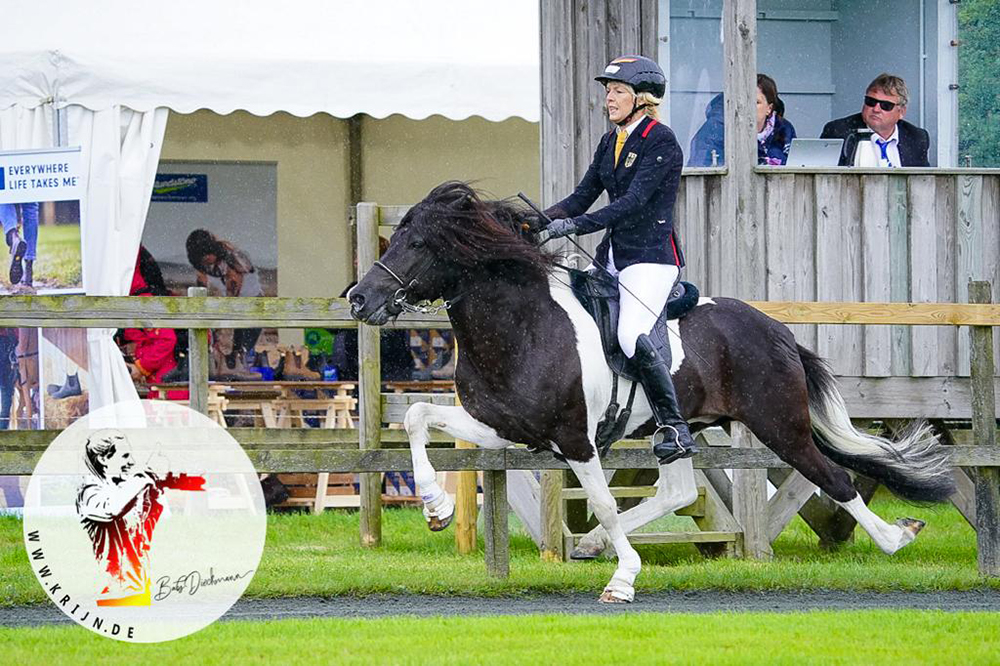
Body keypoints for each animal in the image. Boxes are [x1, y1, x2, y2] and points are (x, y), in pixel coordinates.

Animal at [348, 180, 956, 600]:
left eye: (418, 243)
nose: (358, 299)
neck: (522, 325)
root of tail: (776, 330)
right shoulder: (503, 429)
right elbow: (416, 417)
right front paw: (436, 507)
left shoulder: (575, 440)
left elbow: (603, 501)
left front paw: (623, 580)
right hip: (683, 431)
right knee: (679, 491)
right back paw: (592, 544)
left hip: (782, 426)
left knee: (833, 478)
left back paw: (897, 537)